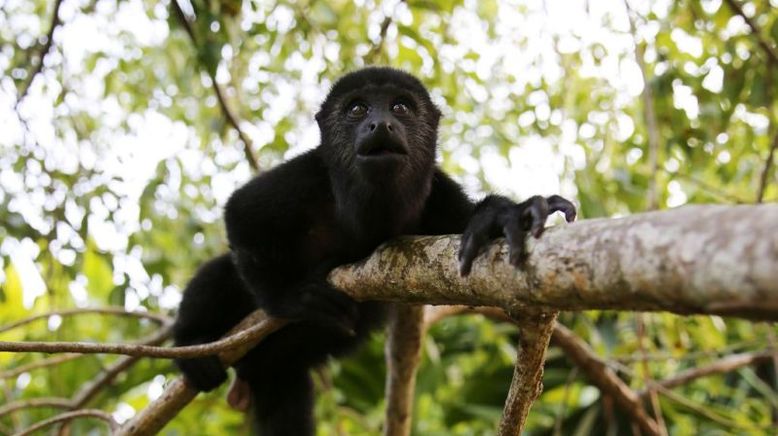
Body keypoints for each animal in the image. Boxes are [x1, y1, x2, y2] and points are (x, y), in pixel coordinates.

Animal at [173, 66, 572, 434]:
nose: (380, 124)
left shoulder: (438, 191)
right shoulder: (304, 176)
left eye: (400, 106)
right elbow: (241, 213)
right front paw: (295, 298)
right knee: (220, 272)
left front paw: (502, 218)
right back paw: (192, 346)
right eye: (357, 109)